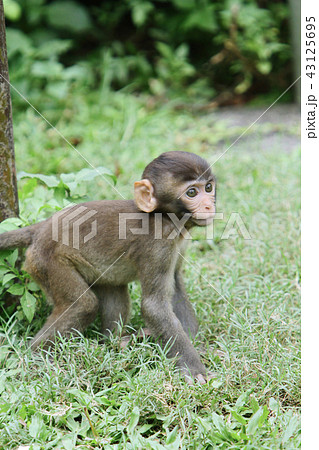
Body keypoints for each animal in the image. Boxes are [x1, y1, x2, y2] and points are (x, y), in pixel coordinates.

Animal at [0, 151, 218, 384]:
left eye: (208, 187)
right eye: (192, 192)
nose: (209, 205)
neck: (164, 216)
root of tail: (43, 227)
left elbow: (175, 288)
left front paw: (198, 346)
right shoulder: (158, 245)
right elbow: (154, 306)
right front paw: (195, 370)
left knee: (113, 290)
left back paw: (116, 342)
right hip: (46, 261)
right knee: (83, 304)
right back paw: (35, 357)